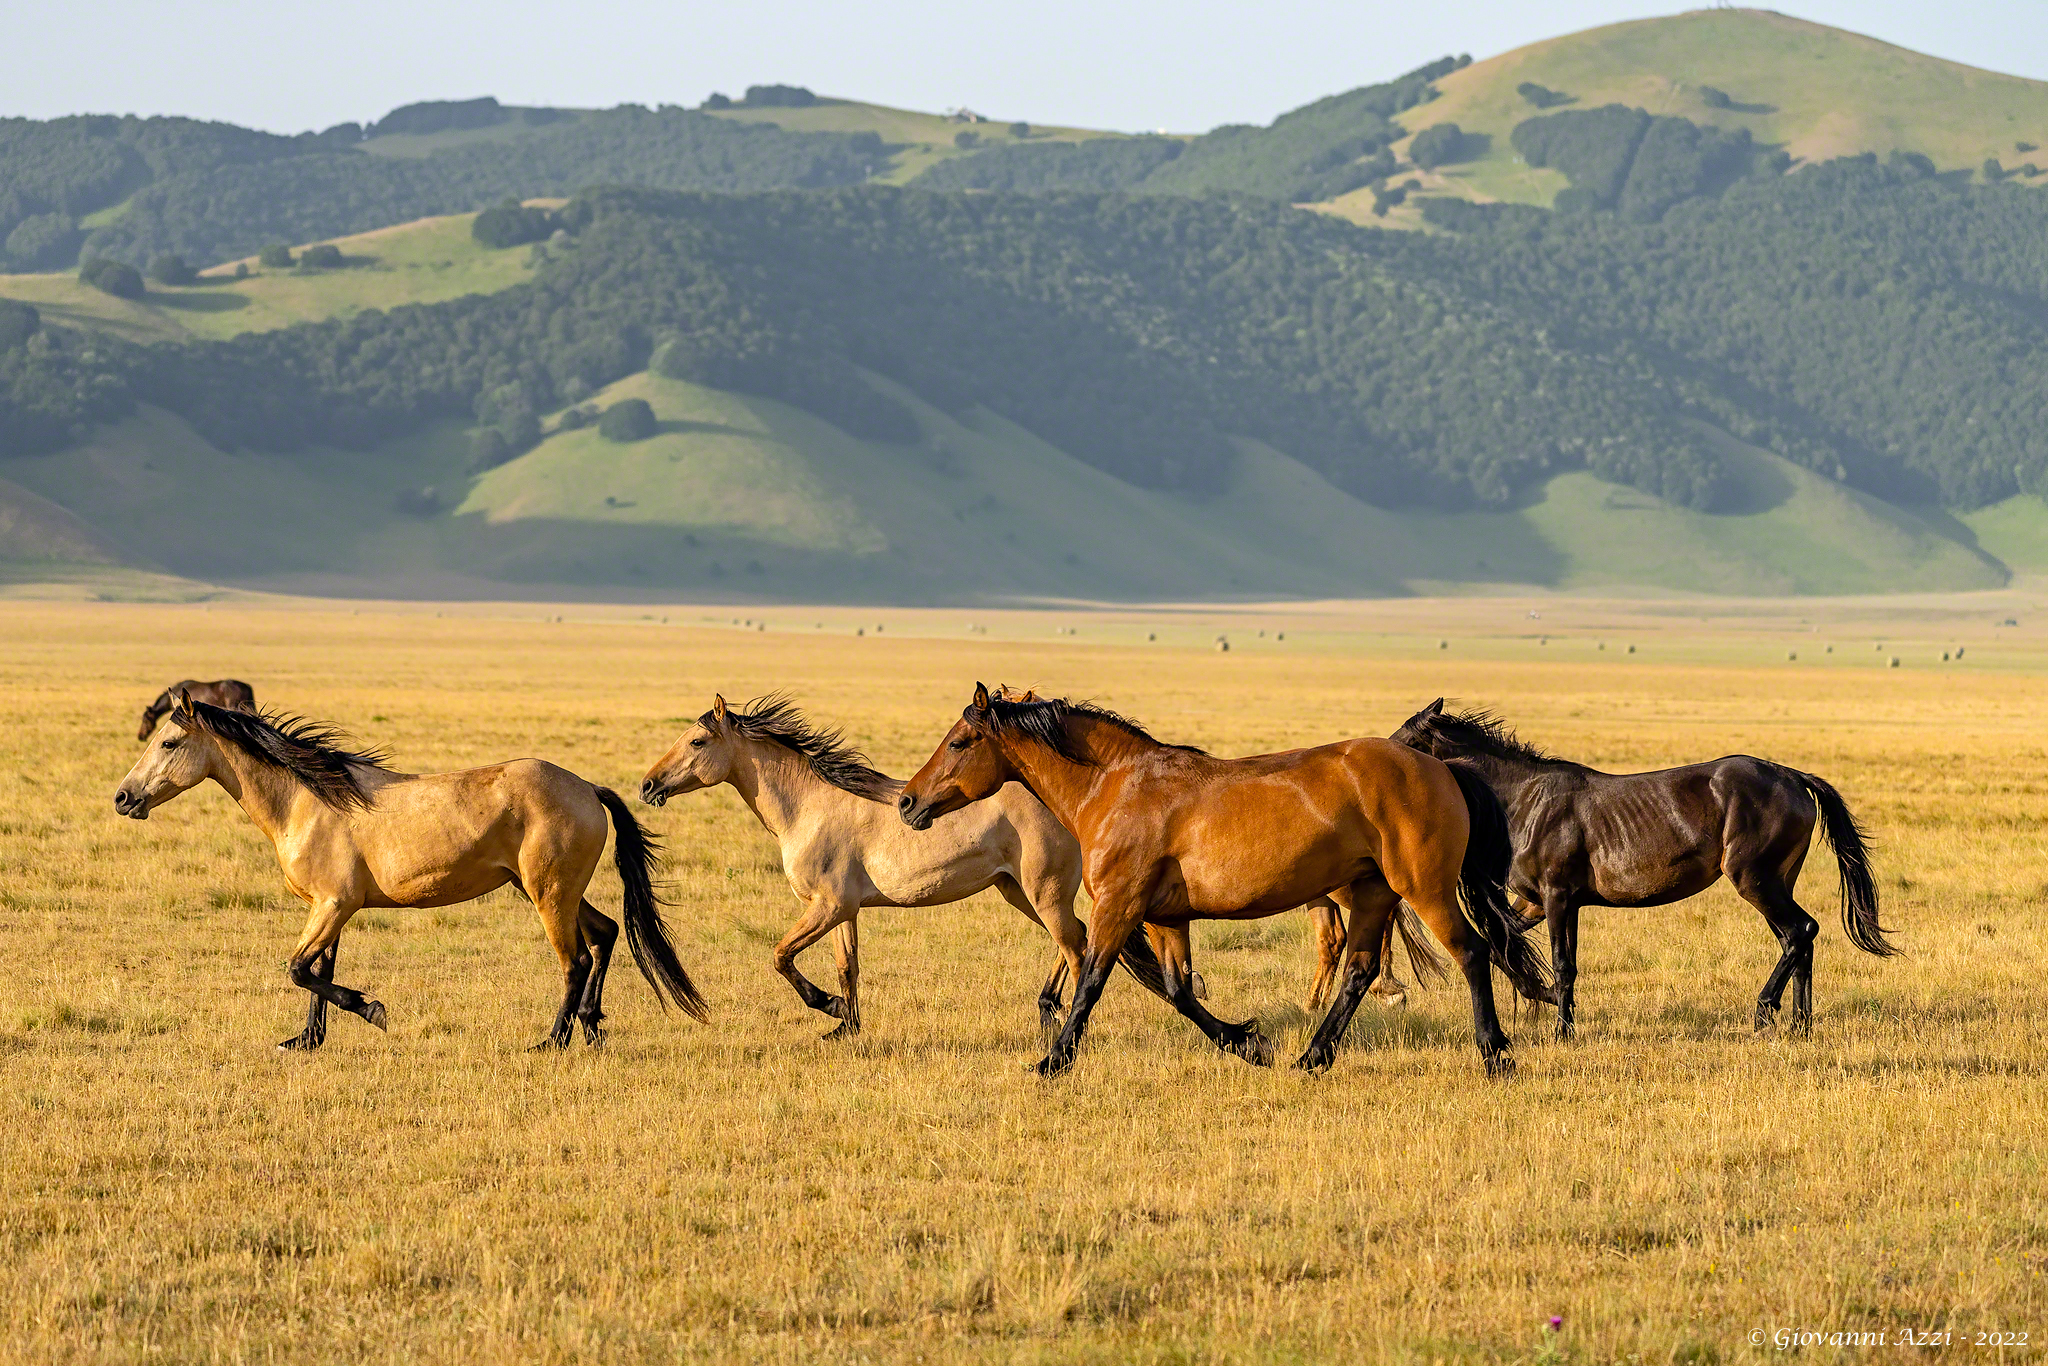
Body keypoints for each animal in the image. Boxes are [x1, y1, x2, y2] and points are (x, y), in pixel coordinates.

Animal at [114, 692, 706, 1050]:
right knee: (606, 934)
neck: (308, 801)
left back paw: (551, 1041)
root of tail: (586, 788)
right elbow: (318, 972)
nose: (123, 798)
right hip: (548, 891)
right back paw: (591, 1026)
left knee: (576, 959)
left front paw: (372, 1009)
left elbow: (299, 969)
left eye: (168, 742)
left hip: (548, 894)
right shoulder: (330, 909)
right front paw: (306, 1041)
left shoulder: (334, 906)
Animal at [638, 693, 1172, 1039]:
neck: (807, 805)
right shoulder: (842, 910)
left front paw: (828, 1008)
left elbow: (780, 955)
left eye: (698, 742)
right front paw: (846, 1027)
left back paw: (1065, 1029)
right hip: (1017, 892)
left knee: (1078, 949)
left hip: (1043, 893)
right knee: (1074, 940)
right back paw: (1048, 1012)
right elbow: (847, 966)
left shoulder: (826, 907)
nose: (647, 785)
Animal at [898, 684, 1549, 1076]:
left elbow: (1091, 984)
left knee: (1473, 952)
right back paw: (1312, 1057)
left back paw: (1494, 1054)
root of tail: (1439, 766)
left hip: (1424, 889)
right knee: (1360, 971)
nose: (908, 803)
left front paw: (1052, 1062)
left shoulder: (1118, 907)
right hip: (1372, 894)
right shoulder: (1165, 917)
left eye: (959, 742)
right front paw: (1248, 1043)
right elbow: (1180, 991)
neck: (1120, 786)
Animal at [1389, 699, 1894, 1039]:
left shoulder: (1558, 898)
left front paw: (1562, 1030)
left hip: (1755, 881)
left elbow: (1562, 963)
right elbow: (1503, 946)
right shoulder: (1538, 902)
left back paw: (1764, 1011)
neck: (1526, 801)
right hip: (1775, 884)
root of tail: (1793, 777)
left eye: (1408, 741)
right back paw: (1799, 1025)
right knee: (1800, 937)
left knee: (1799, 932)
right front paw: (1546, 999)